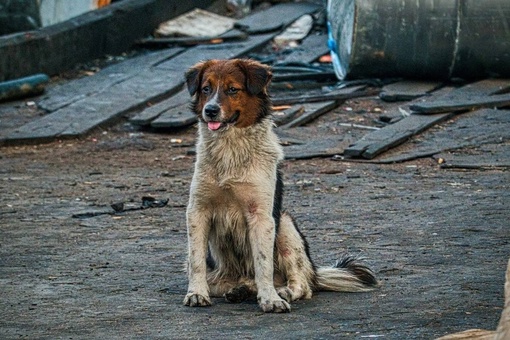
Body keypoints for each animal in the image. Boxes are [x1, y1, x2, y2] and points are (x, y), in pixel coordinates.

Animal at [181, 59, 376, 314]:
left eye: (232, 89)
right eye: (206, 88)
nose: (210, 110)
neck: (230, 151)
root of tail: (315, 272)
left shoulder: (262, 215)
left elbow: (263, 263)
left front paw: (270, 299)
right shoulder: (198, 210)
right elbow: (197, 260)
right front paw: (196, 293)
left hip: (285, 224)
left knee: (302, 284)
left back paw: (282, 291)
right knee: (228, 281)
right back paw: (240, 290)